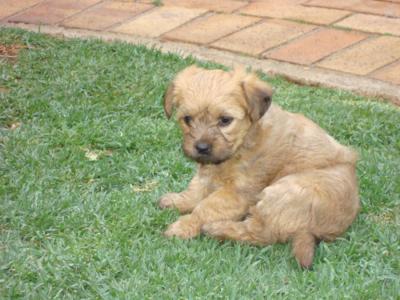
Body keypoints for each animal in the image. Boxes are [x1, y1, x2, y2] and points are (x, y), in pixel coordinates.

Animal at [159, 65, 360, 268]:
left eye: (225, 120)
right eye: (187, 119)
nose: (201, 148)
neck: (244, 142)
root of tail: (316, 231)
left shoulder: (237, 194)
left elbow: (206, 207)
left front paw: (184, 225)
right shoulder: (209, 172)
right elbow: (196, 189)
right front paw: (177, 201)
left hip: (285, 191)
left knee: (260, 233)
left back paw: (217, 229)